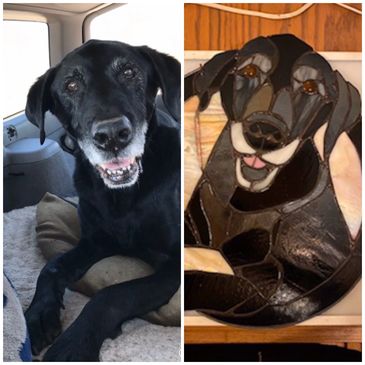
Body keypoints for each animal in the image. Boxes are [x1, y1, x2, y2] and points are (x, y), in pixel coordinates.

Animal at [24, 39, 181, 358]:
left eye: (129, 72)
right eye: (71, 85)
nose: (111, 135)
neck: (122, 196)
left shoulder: (174, 263)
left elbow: (113, 294)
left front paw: (73, 344)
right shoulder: (95, 241)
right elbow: (51, 266)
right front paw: (39, 314)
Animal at [183, 33, 360, 324]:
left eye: (310, 88)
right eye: (250, 71)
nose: (265, 132)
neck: (242, 200)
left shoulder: (264, 282)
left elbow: (205, 280)